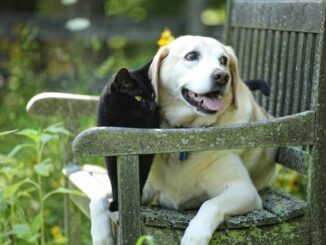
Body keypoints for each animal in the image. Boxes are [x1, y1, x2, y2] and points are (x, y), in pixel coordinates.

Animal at [98, 60, 272, 212]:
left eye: (153, 95)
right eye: (138, 97)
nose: (153, 107)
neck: (124, 122)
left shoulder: (145, 152)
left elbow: (140, 176)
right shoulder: (110, 152)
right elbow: (114, 179)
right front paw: (116, 203)